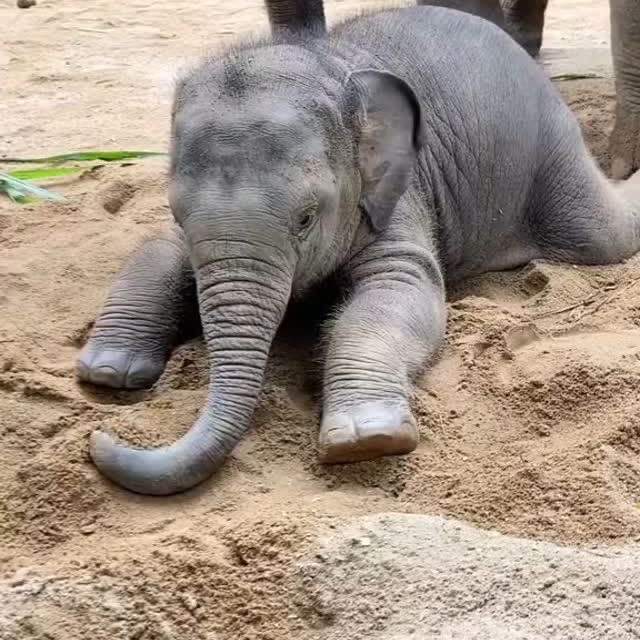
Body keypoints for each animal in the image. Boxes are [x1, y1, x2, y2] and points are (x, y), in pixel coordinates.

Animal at [76, 0, 640, 496]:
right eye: (175, 212)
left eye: (306, 217)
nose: (101, 437)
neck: (331, 66)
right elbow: (155, 252)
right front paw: (109, 372)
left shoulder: (398, 192)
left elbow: (398, 292)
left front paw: (367, 440)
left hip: (552, 150)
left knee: (601, 234)